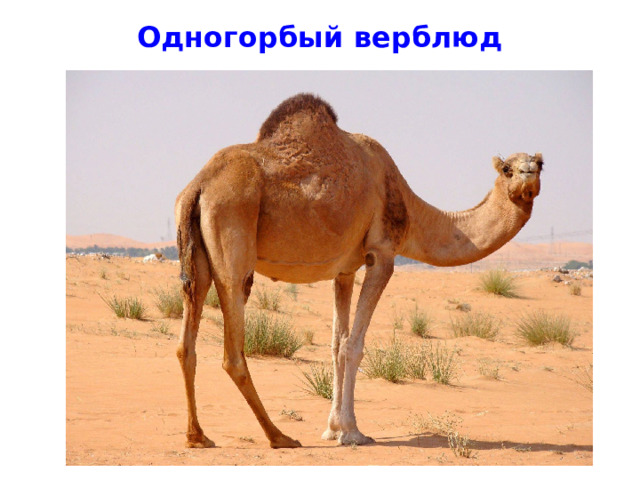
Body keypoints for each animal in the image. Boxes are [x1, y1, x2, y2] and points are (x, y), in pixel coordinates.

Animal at [174, 93, 543, 449]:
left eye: (540, 164)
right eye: (507, 169)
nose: (528, 175)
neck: (409, 207)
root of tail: (198, 185)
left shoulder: (345, 271)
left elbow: (337, 344)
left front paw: (332, 428)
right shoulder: (382, 254)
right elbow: (354, 344)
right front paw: (352, 432)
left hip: (196, 255)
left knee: (186, 341)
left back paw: (198, 436)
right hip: (233, 234)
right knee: (233, 349)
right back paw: (279, 437)